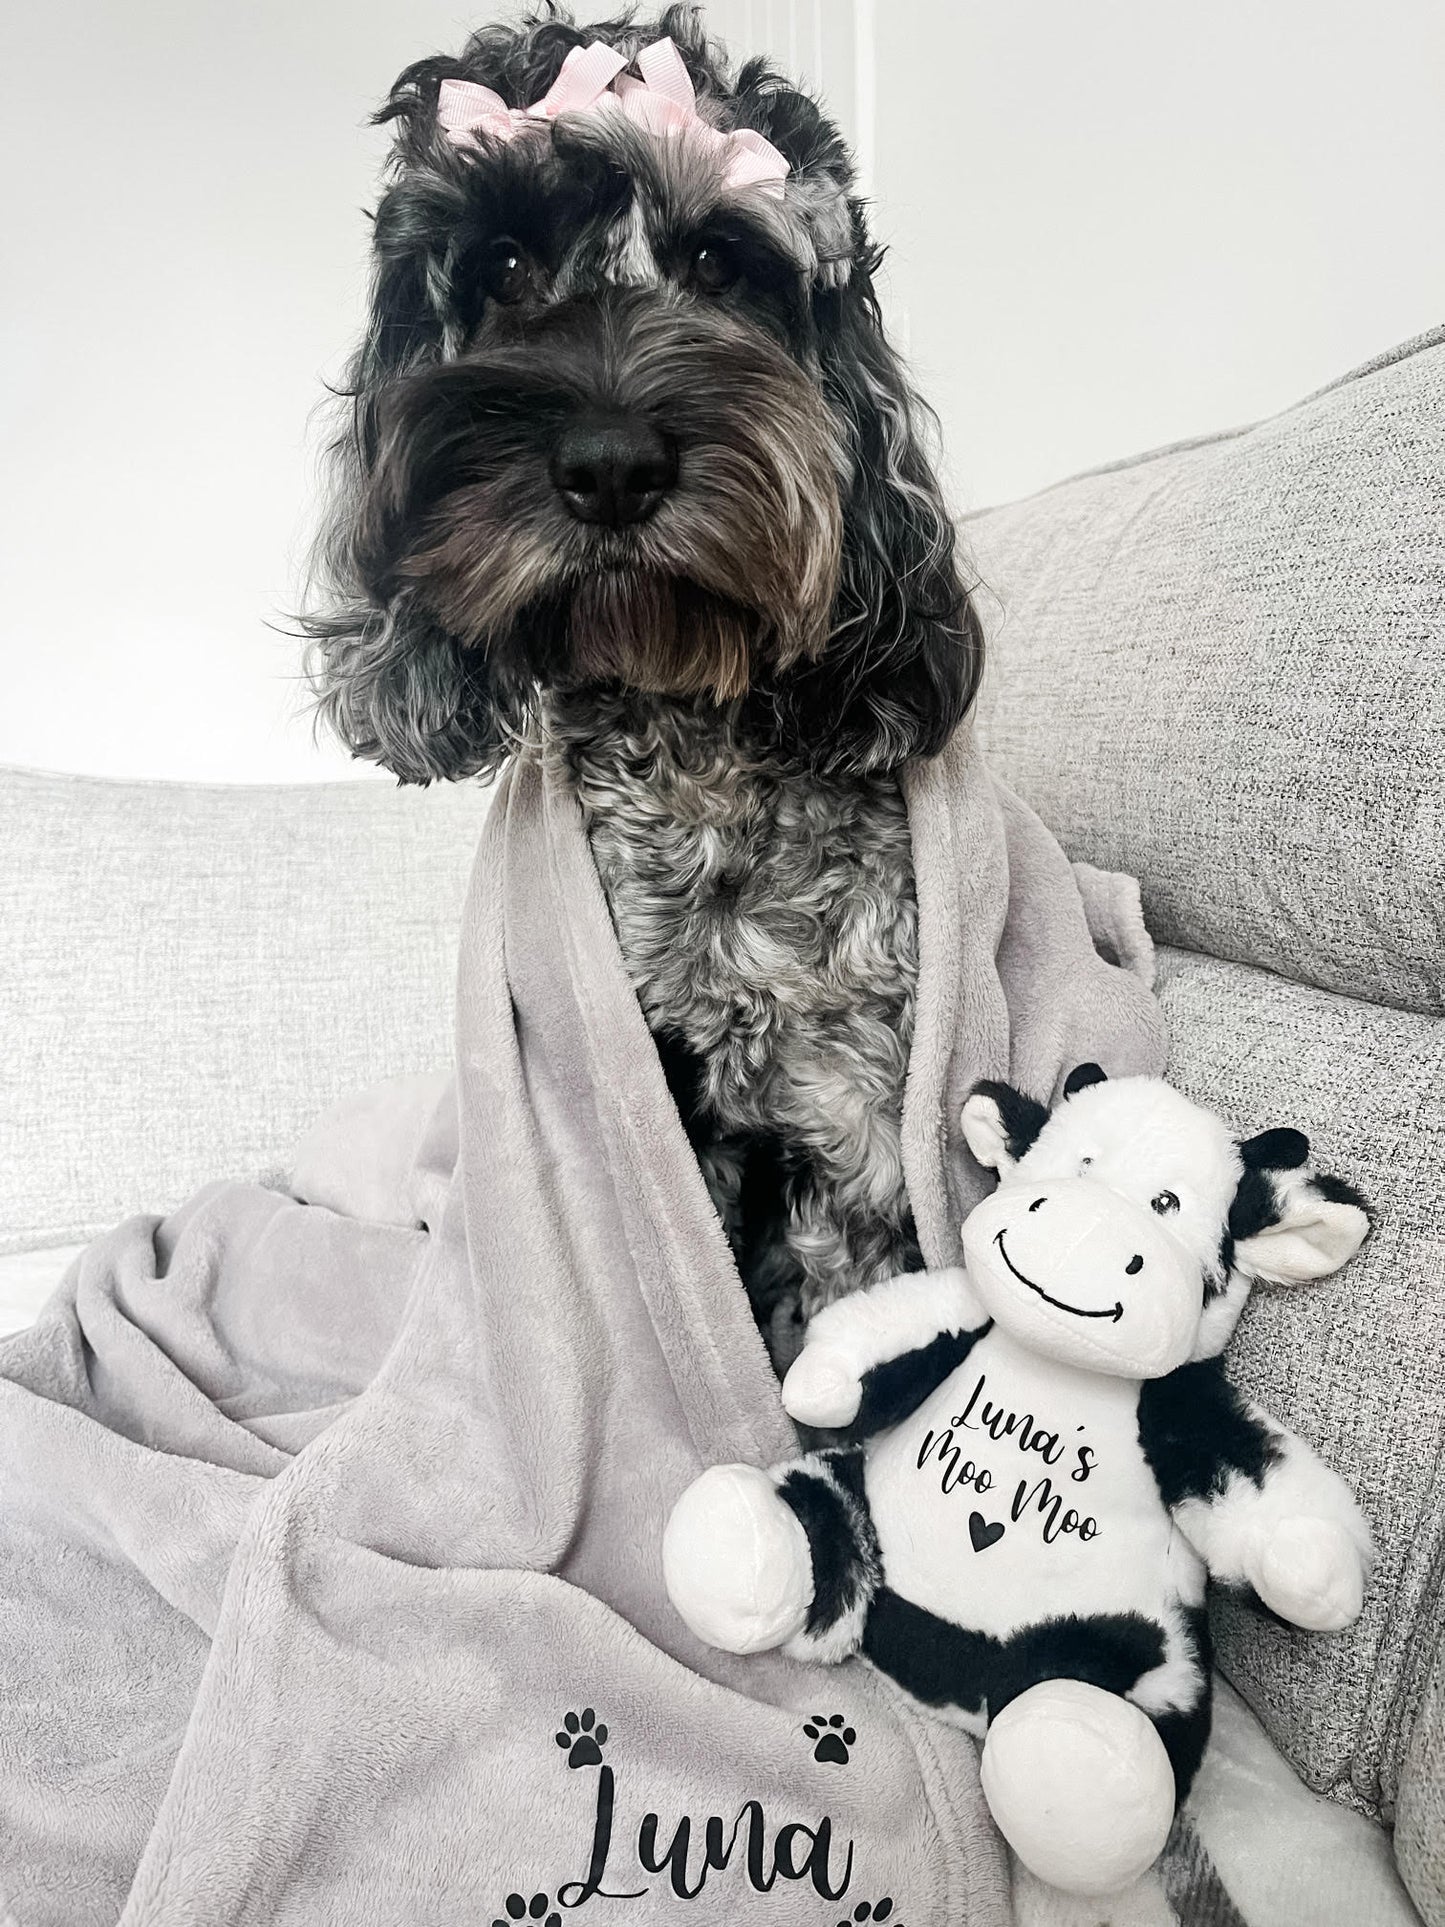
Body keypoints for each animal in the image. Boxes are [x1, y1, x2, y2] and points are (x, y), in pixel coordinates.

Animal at [304, 7, 986, 1379]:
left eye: (722, 262)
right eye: (503, 263)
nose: (611, 465)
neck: (691, 761)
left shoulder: (851, 1106)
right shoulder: (653, 1107)